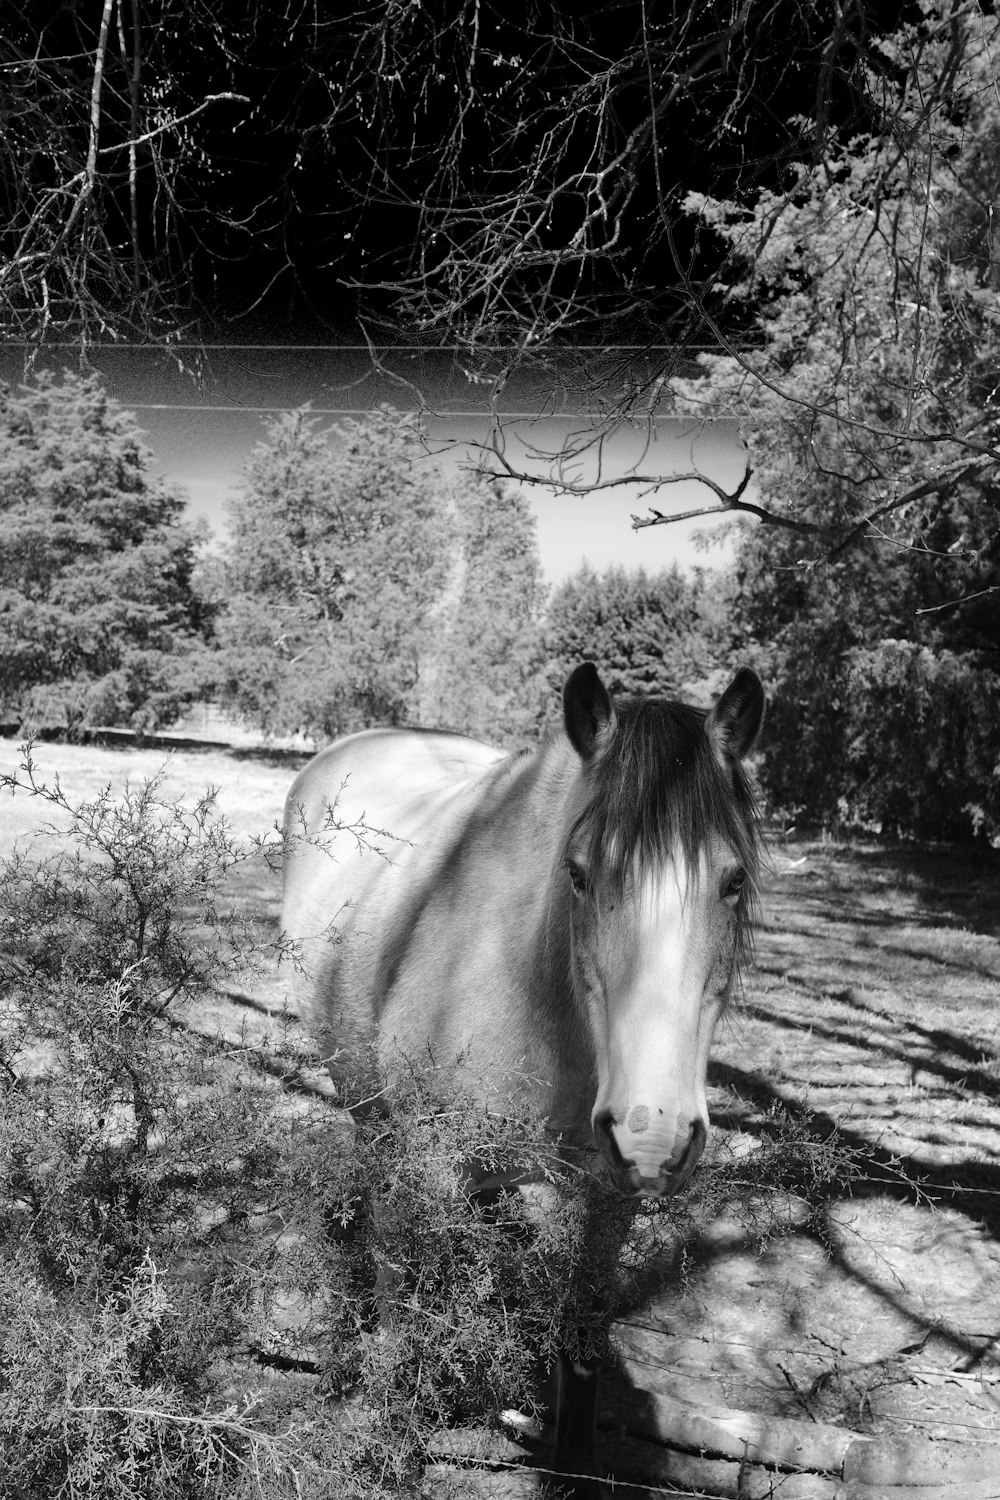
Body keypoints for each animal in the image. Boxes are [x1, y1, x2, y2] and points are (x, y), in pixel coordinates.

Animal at [281, 663, 767, 1494]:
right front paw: (394, 1445)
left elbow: (584, 1320)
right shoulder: (429, 1166)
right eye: (578, 873)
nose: (653, 1133)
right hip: (374, 1117)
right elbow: (414, 1312)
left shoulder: (607, 1195)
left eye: (731, 883)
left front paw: (574, 1466)